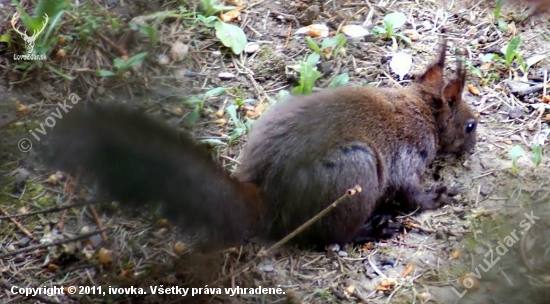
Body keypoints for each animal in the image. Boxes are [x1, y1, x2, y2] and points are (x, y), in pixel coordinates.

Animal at [44, 39, 478, 249]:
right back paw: (374, 228)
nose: (474, 145)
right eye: (471, 125)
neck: (420, 110)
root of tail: (265, 196)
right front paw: (437, 196)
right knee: (330, 237)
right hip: (355, 172)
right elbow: (408, 191)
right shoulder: (408, 155)